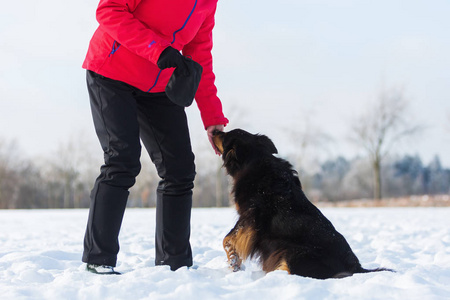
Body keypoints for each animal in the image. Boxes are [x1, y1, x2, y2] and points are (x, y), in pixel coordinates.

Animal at [213, 129, 392, 278]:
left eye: (225, 135)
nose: (214, 131)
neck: (254, 160)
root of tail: (356, 267)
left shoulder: (250, 217)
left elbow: (227, 238)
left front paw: (234, 261)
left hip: (294, 252)